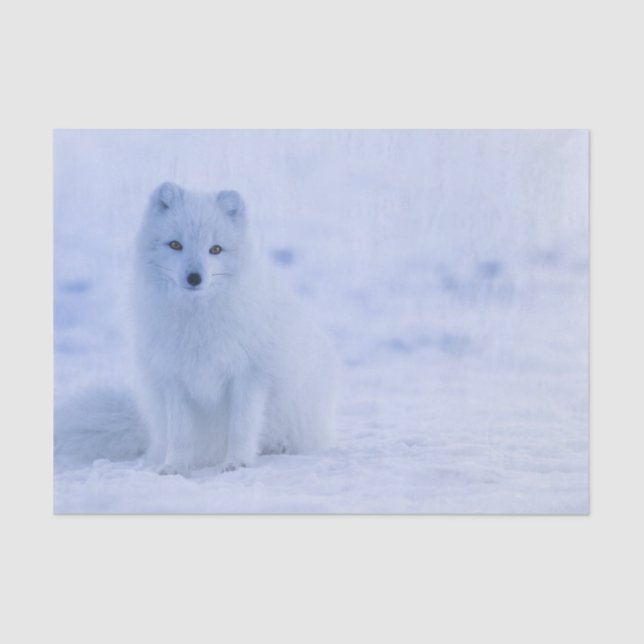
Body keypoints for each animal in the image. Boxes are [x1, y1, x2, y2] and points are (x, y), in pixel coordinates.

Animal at [55, 182, 338, 476]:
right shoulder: (174, 377)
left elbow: (241, 427)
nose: (194, 277)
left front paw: (237, 463)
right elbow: (180, 434)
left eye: (215, 249)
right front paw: (175, 467)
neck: (197, 320)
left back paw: (277, 447)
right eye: (175, 245)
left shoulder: (249, 375)